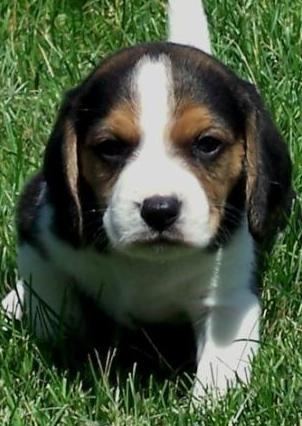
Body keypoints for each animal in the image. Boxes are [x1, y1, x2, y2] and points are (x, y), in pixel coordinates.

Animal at [2, 0, 292, 400]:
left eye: (207, 143)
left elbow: (220, 370)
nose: (159, 210)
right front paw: (68, 343)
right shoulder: (38, 230)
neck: (151, 265)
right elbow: (52, 303)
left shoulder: (229, 297)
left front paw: (207, 404)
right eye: (110, 147)